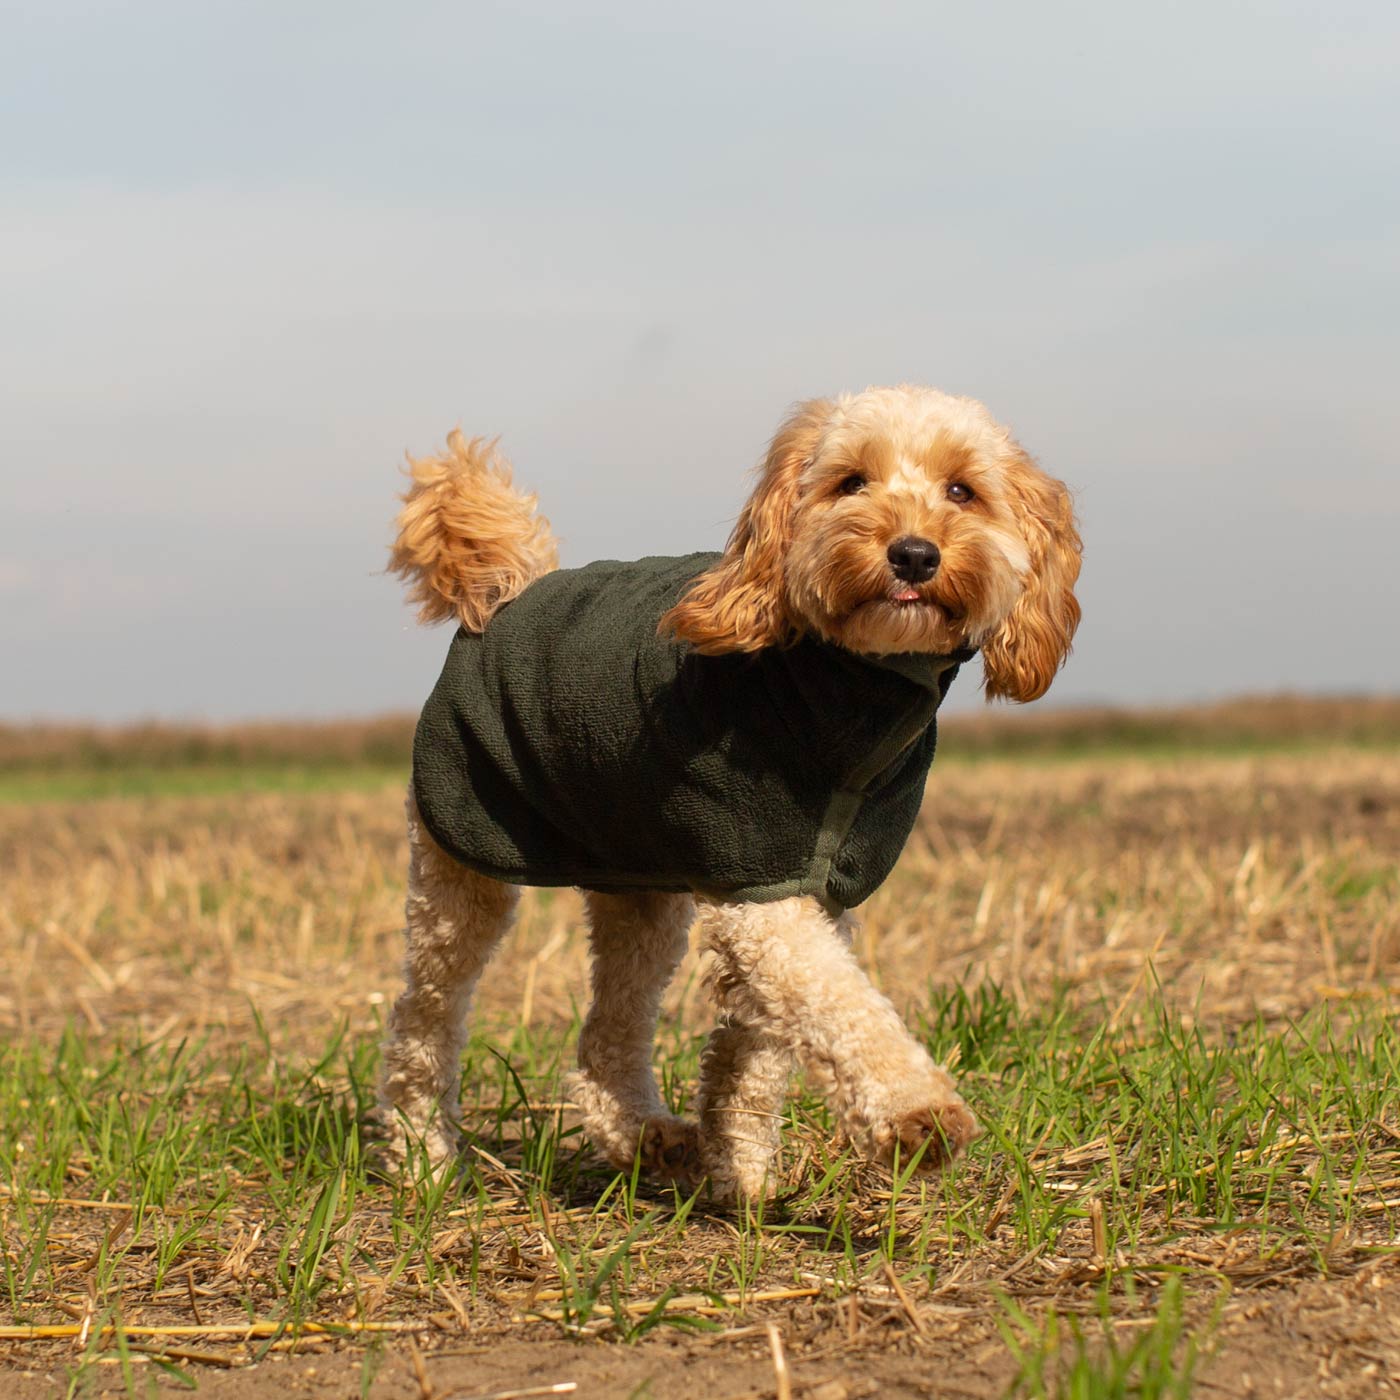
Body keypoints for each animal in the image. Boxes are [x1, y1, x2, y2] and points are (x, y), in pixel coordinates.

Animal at [375, 386, 1080, 1204]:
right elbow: (838, 1002)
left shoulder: (816, 886)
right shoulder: (762, 885)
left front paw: (740, 1170)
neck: (843, 688)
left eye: (962, 491)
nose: (913, 553)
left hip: (639, 892)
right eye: (851, 483)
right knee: (424, 1019)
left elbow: (762, 1039)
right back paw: (423, 1158)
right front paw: (916, 1111)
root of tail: (509, 589)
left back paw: (648, 1139)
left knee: (606, 1037)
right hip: (460, 860)